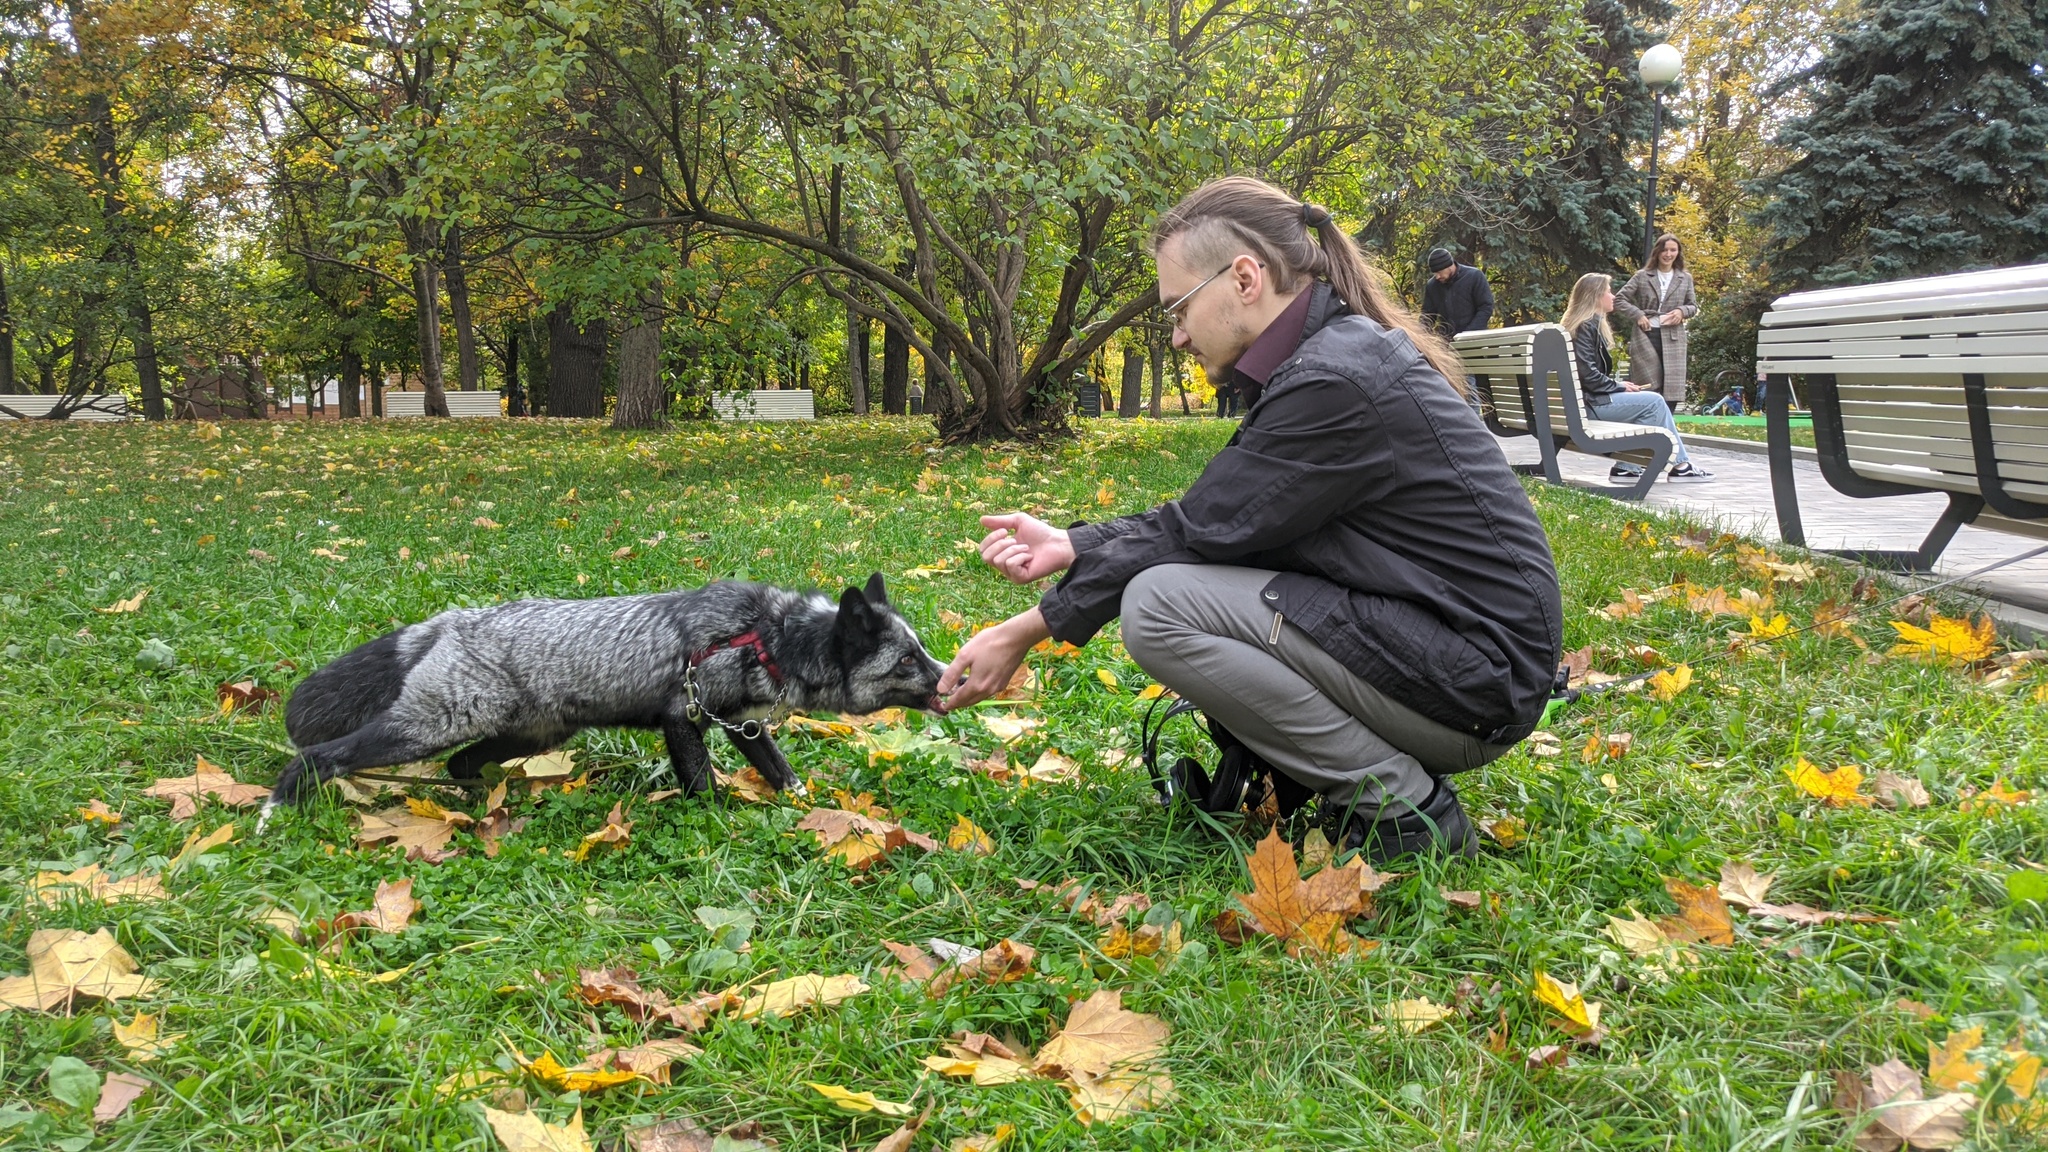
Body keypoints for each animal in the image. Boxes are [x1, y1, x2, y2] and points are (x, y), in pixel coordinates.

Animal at [258, 569, 950, 819]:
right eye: (908, 660)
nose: (950, 677)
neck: (765, 636)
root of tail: (454, 619)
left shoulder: (744, 724)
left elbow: (782, 773)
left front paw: (808, 809)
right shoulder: (683, 717)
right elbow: (703, 785)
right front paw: (721, 829)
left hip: (528, 734)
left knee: (461, 766)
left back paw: (494, 803)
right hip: (431, 727)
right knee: (318, 757)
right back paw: (280, 809)